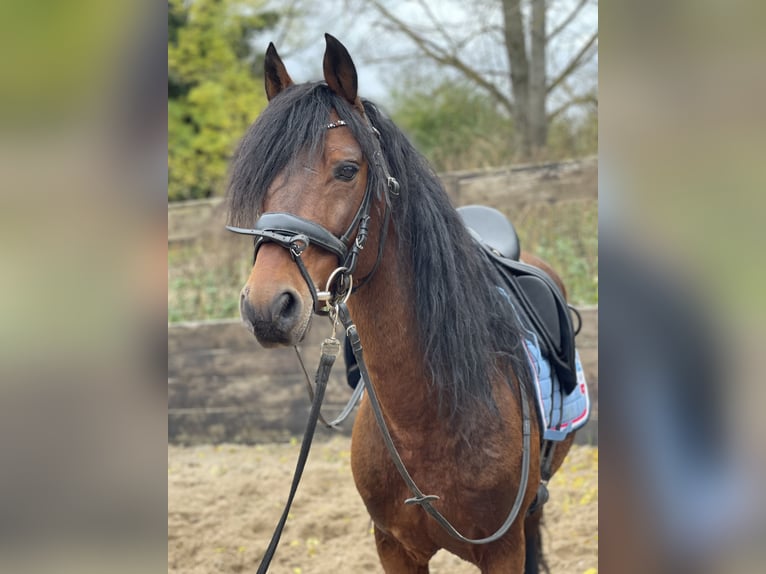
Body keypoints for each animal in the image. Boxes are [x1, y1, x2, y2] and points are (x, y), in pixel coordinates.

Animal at [228, 36, 576, 574]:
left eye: (347, 170)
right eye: (261, 178)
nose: (268, 307)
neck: (425, 420)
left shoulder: (504, 548)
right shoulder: (393, 547)